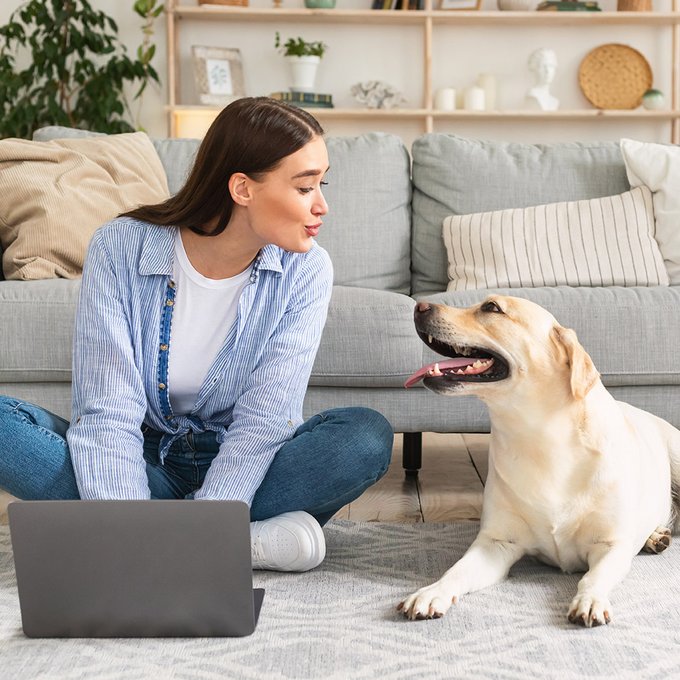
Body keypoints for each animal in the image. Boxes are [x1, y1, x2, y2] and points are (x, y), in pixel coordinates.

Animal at [398, 296, 680, 628]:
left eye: (491, 307)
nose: (419, 306)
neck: (540, 439)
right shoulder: (496, 544)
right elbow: (456, 571)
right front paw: (431, 593)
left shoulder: (612, 546)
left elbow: (593, 577)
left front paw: (590, 601)